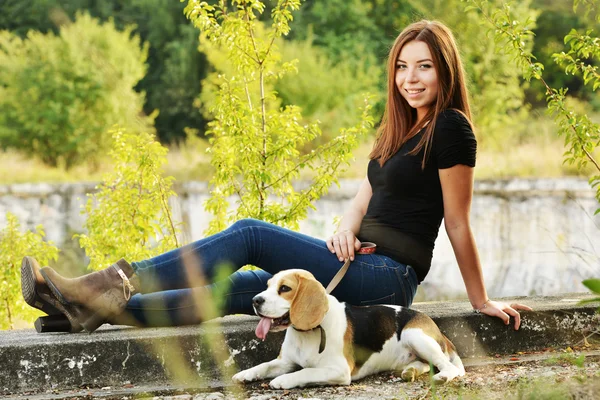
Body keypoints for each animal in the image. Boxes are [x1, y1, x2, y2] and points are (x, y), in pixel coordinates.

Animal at [231, 268, 464, 388]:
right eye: (268, 286)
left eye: (285, 288)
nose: (255, 300)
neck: (307, 333)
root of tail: (432, 324)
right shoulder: (285, 361)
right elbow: (264, 365)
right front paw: (245, 374)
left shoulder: (339, 371)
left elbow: (305, 371)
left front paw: (282, 380)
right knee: (425, 364)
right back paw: (410, 370)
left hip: (414, 335)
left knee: (446, 366)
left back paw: (442, 376)